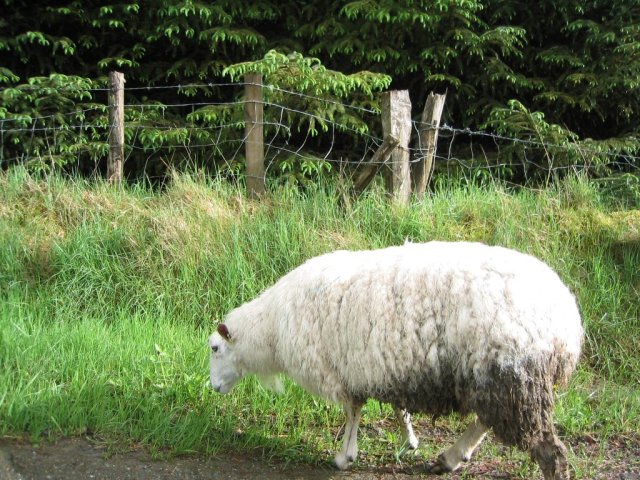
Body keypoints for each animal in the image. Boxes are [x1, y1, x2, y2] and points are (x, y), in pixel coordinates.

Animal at [209, 241, 583, 479]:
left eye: (214, 348)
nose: (213, 388)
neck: (272, 329)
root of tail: (567, 322)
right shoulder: (384, 366)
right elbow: (397, 408)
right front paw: (410, 440)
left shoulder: (341, 371)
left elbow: (353, 412)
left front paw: (345, 456)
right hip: (498, 378)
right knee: (485, 421)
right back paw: (449, 458)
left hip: (511, 372)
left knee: (547, 449)